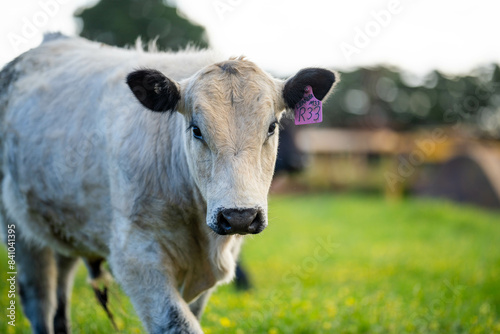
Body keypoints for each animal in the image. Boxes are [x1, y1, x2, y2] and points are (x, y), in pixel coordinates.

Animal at [0, 34, 338, 334]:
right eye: (196, 129)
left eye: (271, 127)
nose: (239, 216)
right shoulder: (136, 259)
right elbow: (177, 324)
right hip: (21, 235)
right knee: (39, 303)